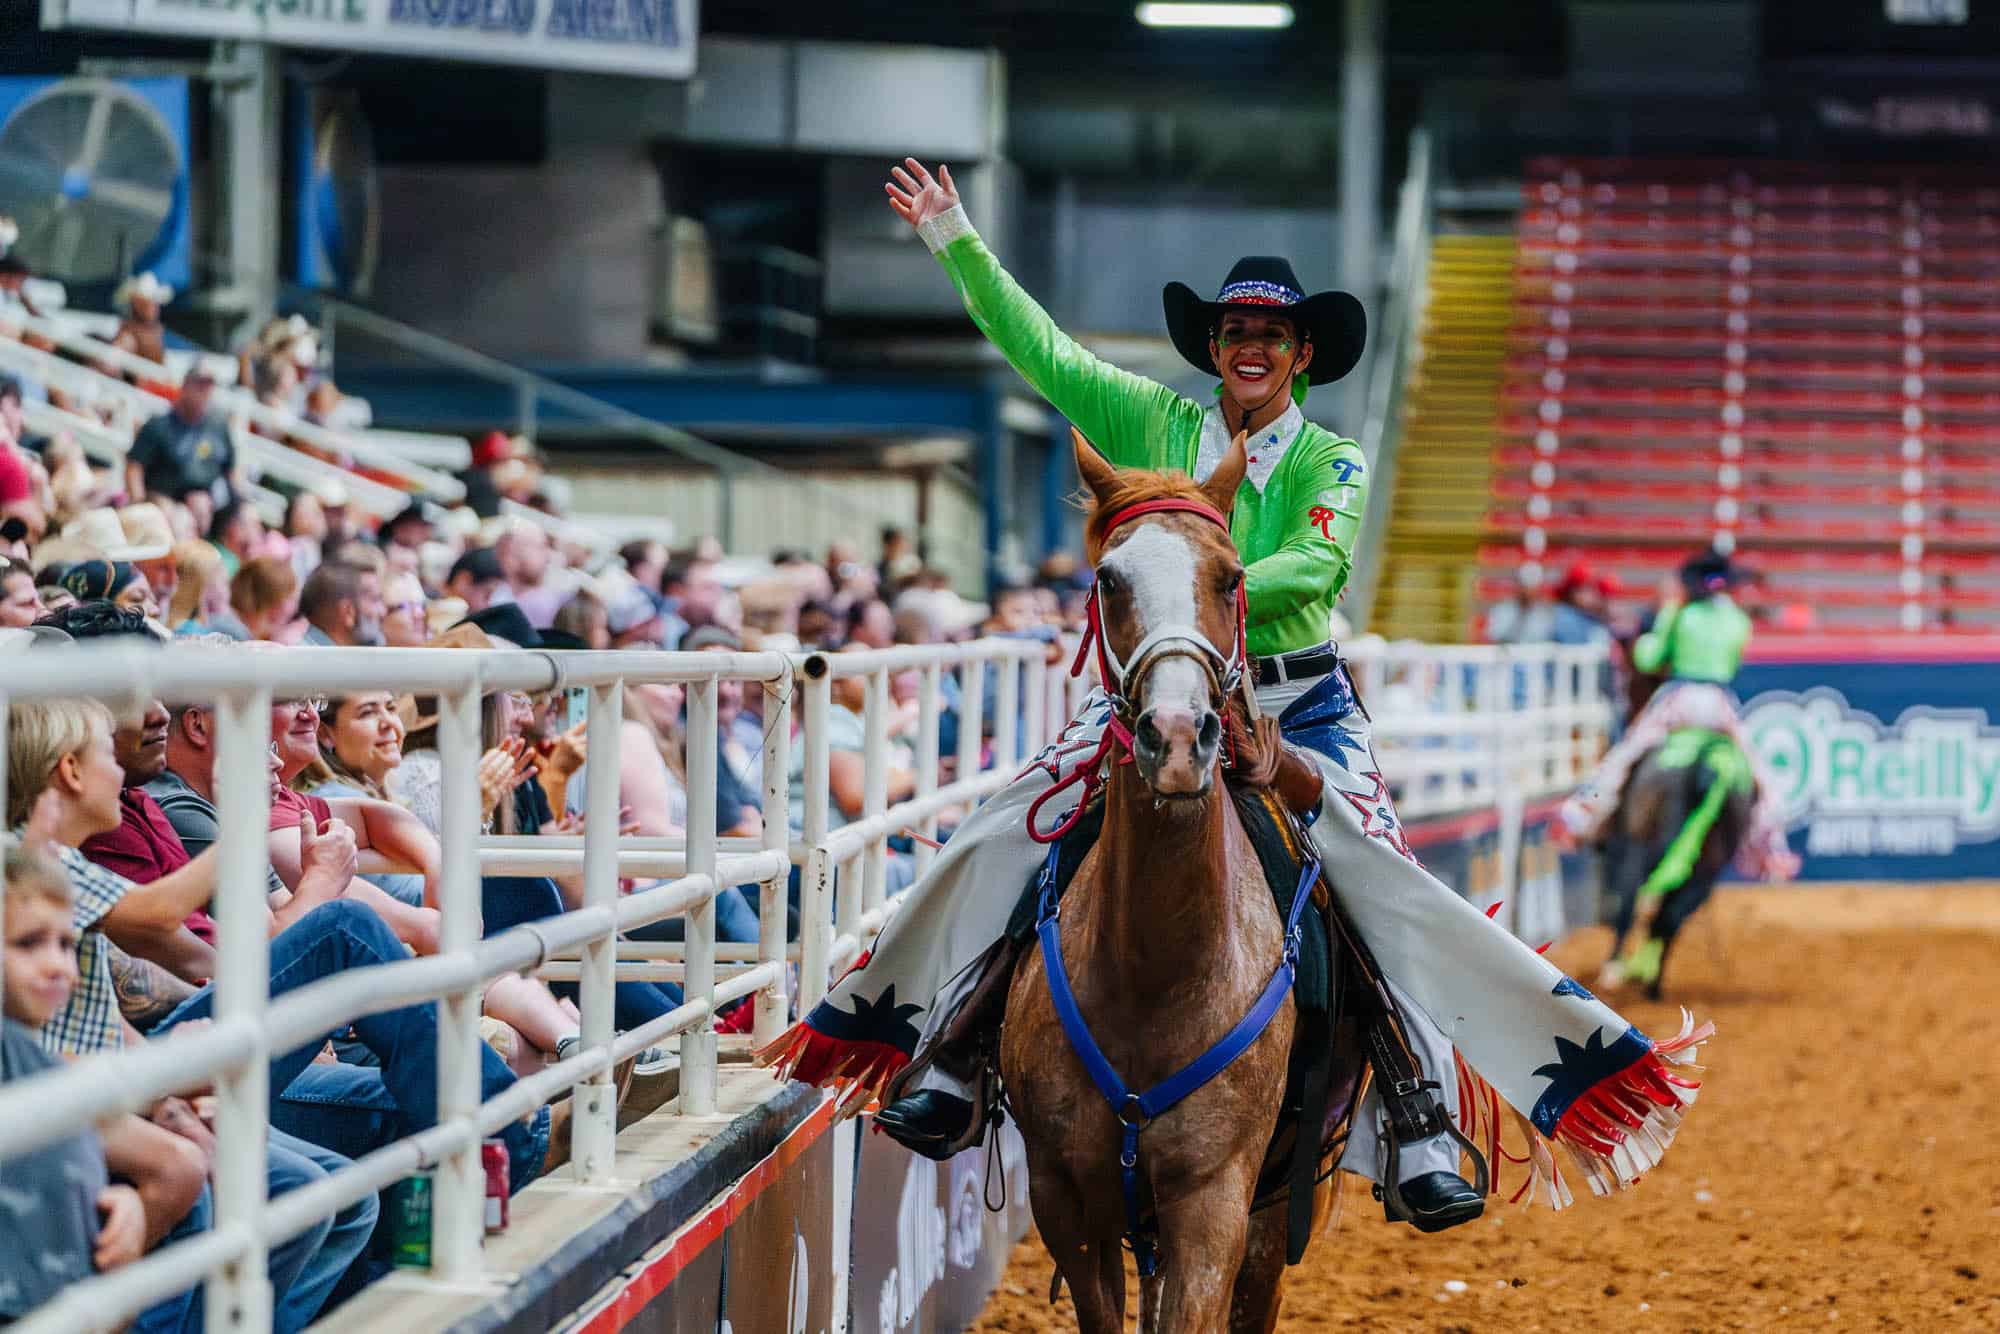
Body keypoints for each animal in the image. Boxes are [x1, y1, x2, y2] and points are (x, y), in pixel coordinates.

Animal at [1000, 434, 1344, 1328]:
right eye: (1108, 579)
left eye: (1231, 577)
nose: (1180, 737)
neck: (1156, 974)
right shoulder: (1065, 1197)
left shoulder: (1214, 1203)